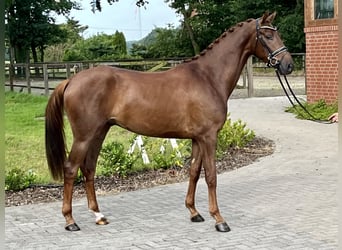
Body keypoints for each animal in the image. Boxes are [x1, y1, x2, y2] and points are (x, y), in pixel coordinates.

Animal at [44, 12, 292, 232]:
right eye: (268, 35)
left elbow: (194, 172)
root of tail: (71, 80)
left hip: (99, 132)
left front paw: (194, 212)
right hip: (84, 136)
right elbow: (211, 176)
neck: (208, 77)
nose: (288, 65)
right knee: (70, 169)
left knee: (89, 168)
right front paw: (219, 219)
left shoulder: (197, 138)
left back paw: (99, 215)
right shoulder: (209, 137)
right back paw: (70, 221)